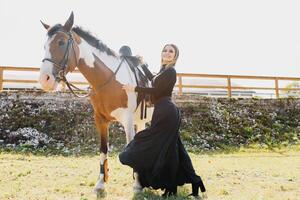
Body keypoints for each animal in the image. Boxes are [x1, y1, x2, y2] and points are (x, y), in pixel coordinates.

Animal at [38, 12, 154, 195]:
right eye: (44, 46)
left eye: (61, 42)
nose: (45, 80)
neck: (109, 79)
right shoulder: (100, 120)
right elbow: (103, 150)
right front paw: (100, 184)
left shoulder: (127, 121)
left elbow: (130, 147)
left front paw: (137, 185)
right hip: (139, 121)